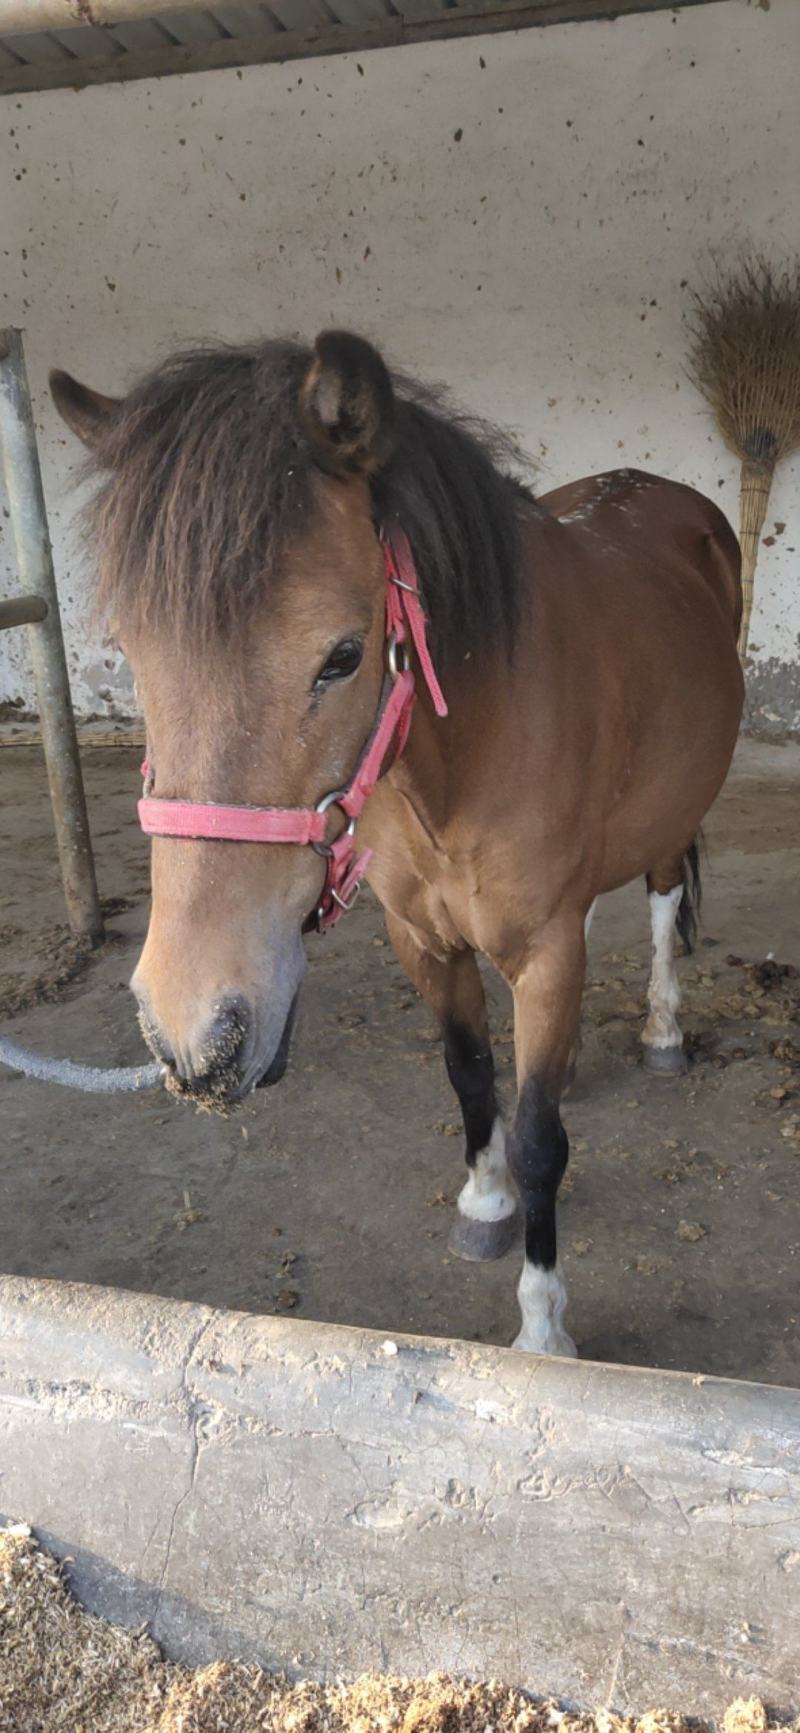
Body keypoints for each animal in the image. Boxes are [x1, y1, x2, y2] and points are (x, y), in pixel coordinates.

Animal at [50, 330, 744, 1357]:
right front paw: (485, 1202)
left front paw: (543, 1327)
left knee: (662, 898)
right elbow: (471, 1077)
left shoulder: (547, 952)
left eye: (342, 656)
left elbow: (540, 1139)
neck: (462, 758)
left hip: (672, 812)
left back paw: (662, 1030)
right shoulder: (422, 938)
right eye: (132, 653)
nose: (193, 1032)